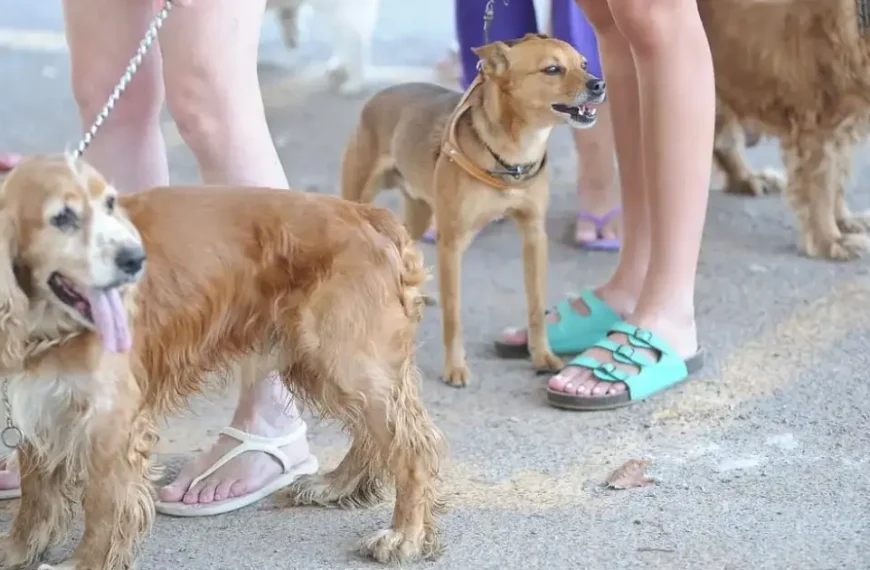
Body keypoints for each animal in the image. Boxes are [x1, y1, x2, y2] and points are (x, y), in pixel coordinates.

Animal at [0, 153, 442, 568]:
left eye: (109, 204)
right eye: (62, 217)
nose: (135, 260)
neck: (47, 324)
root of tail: (367, 214)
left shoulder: (112, 419)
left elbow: (103, 502)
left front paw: (86, 562)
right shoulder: (39, 400)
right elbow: (36, 494)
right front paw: (17, 549)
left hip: (344, 360)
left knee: (413, 446)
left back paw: (403, 535)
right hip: (322, 364)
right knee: (375, 434)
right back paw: (338, 485)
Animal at [340, 33, 608, 384]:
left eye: (584, 64)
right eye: (552, 69)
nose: (599, 84)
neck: (514, 154)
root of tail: (378, 97)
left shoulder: (534, 235)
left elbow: (536, 306)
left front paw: (542, 355)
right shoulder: (451, 244)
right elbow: (453, 316)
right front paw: (455, 367)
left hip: (420, 211)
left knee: (406, 245)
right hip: (359, 198)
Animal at [704, 0, 870, 258]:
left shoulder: (840, 122)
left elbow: (837, 180)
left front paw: (845, 222)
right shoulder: (817, 123)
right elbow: (822, 185)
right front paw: (831, 240)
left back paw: (748, 179)